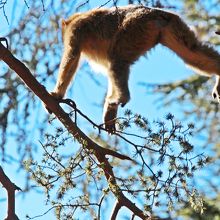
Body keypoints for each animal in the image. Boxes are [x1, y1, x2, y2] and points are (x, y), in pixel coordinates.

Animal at [49, 4, 220, 132]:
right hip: (172, 26)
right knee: (192, 53)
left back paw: (122, 97)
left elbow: (72, 57)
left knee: (117, 59)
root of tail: (157, 14)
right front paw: (110, 113)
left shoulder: (75, 31)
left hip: (136, 27)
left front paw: (57, 95)